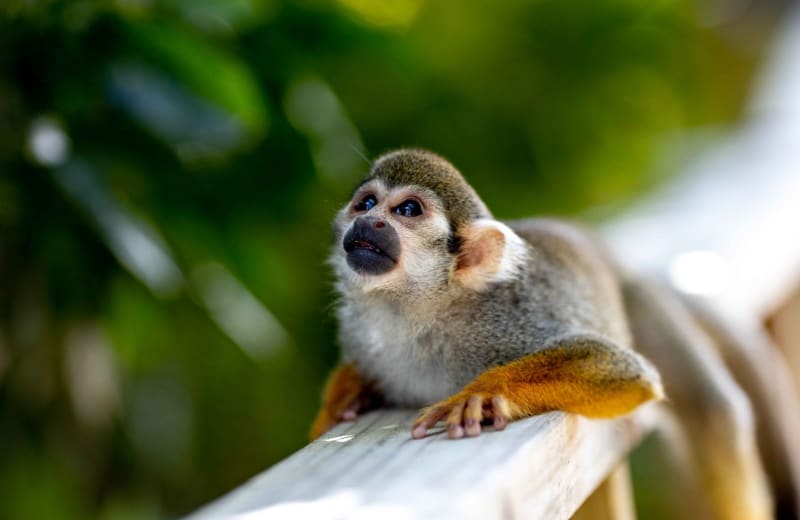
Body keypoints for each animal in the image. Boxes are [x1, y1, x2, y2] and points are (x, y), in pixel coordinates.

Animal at [310, 149, 781, 519]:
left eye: (407, 211)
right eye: (367, 203)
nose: (370, 222)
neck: (418, 311)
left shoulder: (504, 320)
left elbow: (620, 367)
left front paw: (482, 393)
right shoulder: (361, 335)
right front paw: (344, 396)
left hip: (640, 305)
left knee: (712, 412)